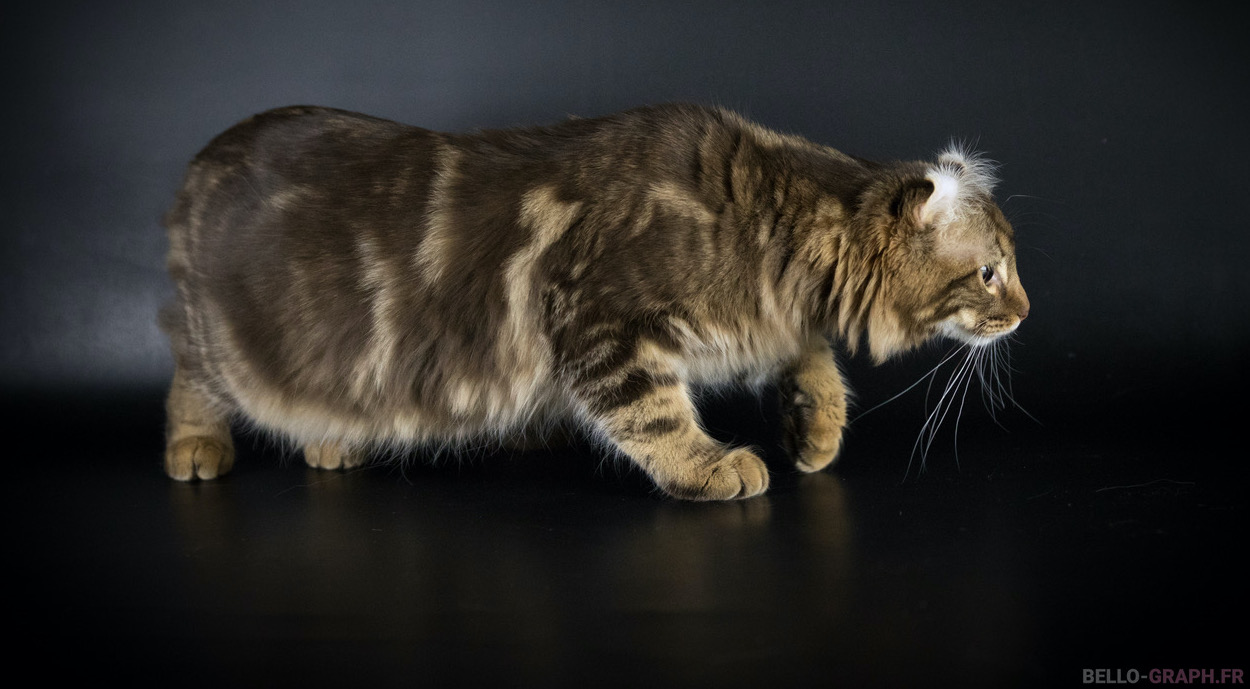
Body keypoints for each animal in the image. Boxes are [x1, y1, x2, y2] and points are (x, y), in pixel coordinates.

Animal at [161, 102, 1030, 502]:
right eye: (991, 271)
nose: (1025, 311)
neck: (769, 227)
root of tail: (201, 159)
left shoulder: (765, 319)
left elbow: (809, 356)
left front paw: (816, 427)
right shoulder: (601, 324)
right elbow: (656, 417)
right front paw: (711, 466)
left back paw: (332, 440)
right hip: (218, 347)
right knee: (187, 379)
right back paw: (198, 447)